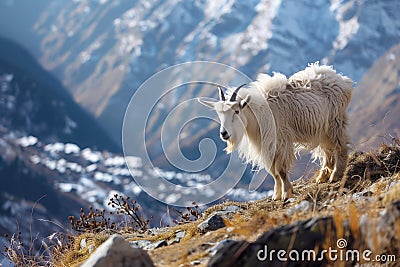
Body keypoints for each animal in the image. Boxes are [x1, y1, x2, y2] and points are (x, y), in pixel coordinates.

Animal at [198, 63, 352, 201]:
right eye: (219, 113)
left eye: (236, 111)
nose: (224, 134)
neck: (258, 114)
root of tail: (342, 80)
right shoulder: (267, 146)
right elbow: (273, 172)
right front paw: (276, 195)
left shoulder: (280, 141)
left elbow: (281, 171)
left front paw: (286, 194)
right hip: (322, 128)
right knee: (328, 150)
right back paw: (322, 177)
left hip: (335, 122)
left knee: (340, 147)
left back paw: (335, 176)